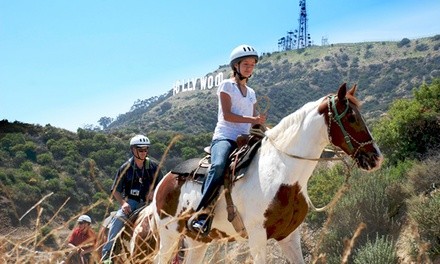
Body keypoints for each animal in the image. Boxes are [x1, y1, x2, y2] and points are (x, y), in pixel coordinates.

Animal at [147, 83, 382, 264]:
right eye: (351, 117)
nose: (376, 157)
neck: (282, 173)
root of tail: (163, 181)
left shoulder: (289, 236)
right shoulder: (257, 237)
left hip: (197, 241)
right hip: (169, 237)